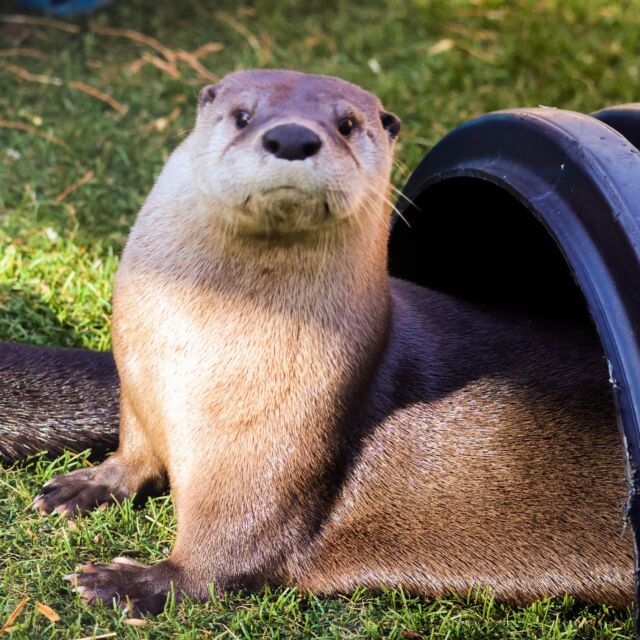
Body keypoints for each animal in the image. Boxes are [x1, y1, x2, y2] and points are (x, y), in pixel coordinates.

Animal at [0, 69, 632, 608]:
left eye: (347, 123)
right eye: (243, 114)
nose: (292, 137)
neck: (191, 356)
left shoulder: (270, 459)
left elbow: (225, 553)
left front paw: (131, 582)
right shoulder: (138, 388)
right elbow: (136, 452)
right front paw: (86, 485)